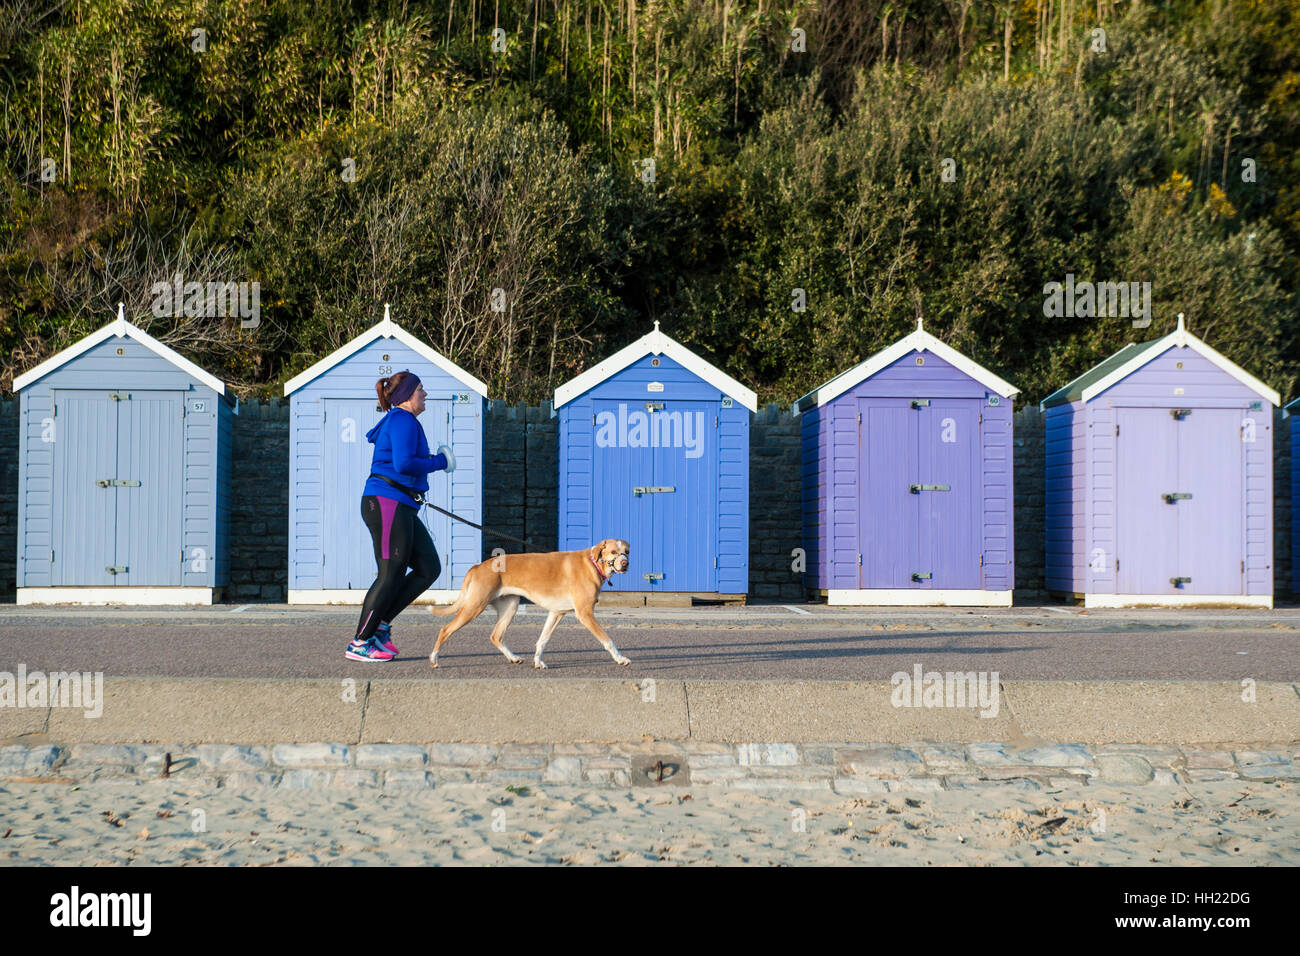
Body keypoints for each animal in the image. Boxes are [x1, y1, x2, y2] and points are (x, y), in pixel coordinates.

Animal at [428, 541, 631, 671]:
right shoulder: (585, 613)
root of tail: (478, 566)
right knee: (446, 630)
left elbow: (542, 641)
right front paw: (620, 658)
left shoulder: (556, 613)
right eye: (613, 552)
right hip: (474, 607)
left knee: (496, 636)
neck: (592, 563)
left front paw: (538, 662)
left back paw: (513, 657)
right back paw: (434, 658)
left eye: (627, 551)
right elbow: (607, 640)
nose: (625, 563)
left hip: (510, 608)